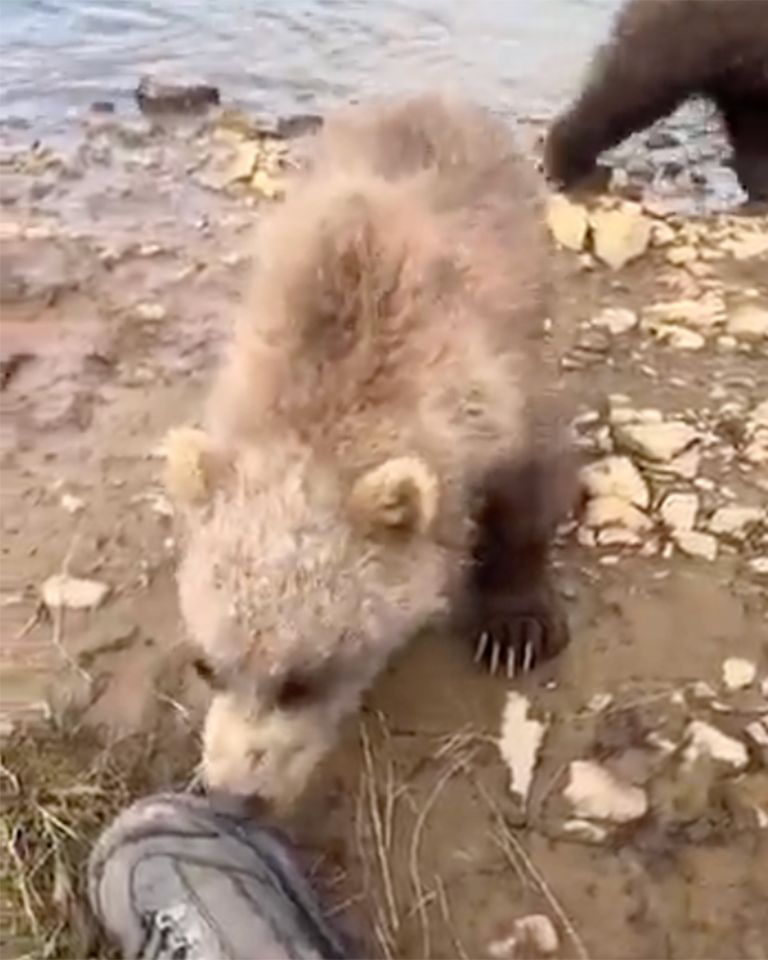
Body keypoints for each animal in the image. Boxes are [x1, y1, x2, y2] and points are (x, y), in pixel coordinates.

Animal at [164, 94, 576, 808]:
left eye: (301, 678)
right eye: (207, 663)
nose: (232, 793)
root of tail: (431, 95)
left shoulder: (490, 386)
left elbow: (525, 487)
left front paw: (516, 627)